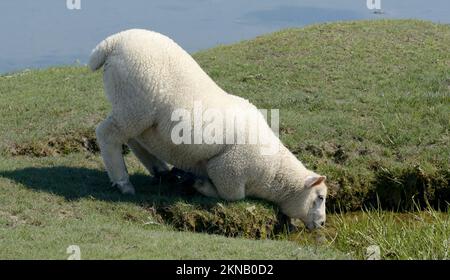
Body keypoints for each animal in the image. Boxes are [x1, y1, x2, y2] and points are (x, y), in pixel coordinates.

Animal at [89, 29, 326, 230]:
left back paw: (162, 171)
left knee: (133, 139)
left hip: (136, 114)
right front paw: (201, 185)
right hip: (134, 104)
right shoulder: (228, 170)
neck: (274, 174)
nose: (323, 224)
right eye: (320, 197)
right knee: (107, 134)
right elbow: (233, 196)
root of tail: (112, 42)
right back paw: (124, 183)